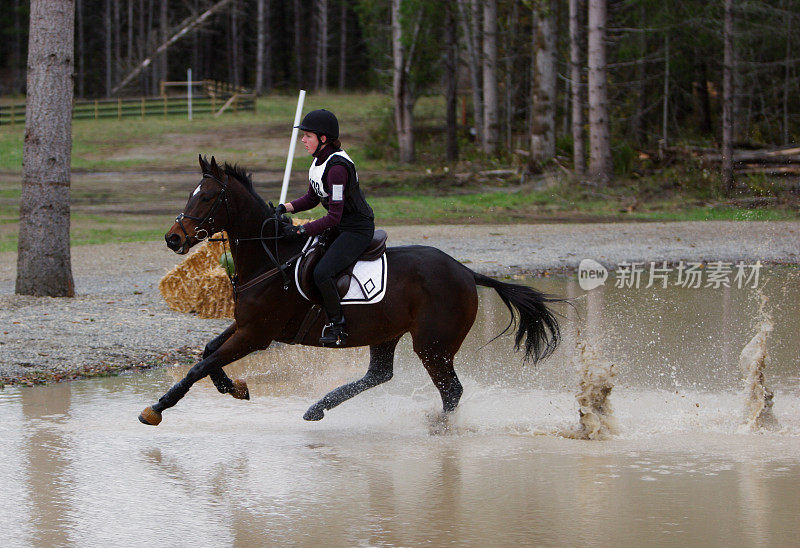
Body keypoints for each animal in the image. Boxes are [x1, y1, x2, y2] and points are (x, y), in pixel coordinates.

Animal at [139, 156, 564, 426]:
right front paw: (235, 387)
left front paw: (157, 408)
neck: (270, 257)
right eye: (192, 194)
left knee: (451, 391)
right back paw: (317, 408)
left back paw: (439, 429)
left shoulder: (256, 334)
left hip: (433, 346)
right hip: (388, 332)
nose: (172, 238)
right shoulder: (245, 326)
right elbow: (209, 353)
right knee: (380, 374)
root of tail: (466, 271)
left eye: (208, 196)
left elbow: (201, 364)